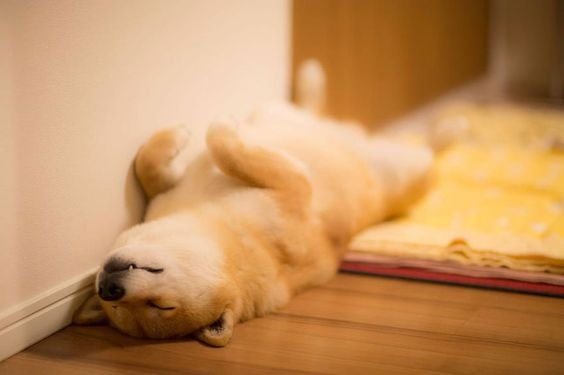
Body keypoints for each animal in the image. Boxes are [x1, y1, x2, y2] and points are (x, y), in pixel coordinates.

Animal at [71, 64, 432, 346]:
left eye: (161, 306)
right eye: (119, 309)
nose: (110, 288)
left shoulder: (290, 185)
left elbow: (207, 152)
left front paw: (206, 129)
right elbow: (159, 165)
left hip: (404, 164)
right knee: (309, 109)